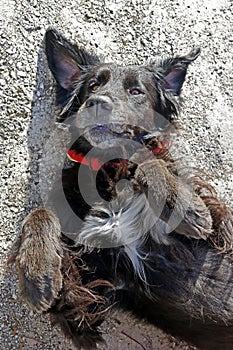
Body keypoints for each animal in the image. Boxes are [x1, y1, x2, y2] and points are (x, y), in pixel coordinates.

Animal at [10, 30, 233, 350]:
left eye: (136, 91)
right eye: (93, 85)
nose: (97, 102)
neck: (109, 167)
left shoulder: (220, 226)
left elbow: (148, 162)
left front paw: (185, 207)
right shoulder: (87, 297)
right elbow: (40, 212)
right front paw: (36, 275)